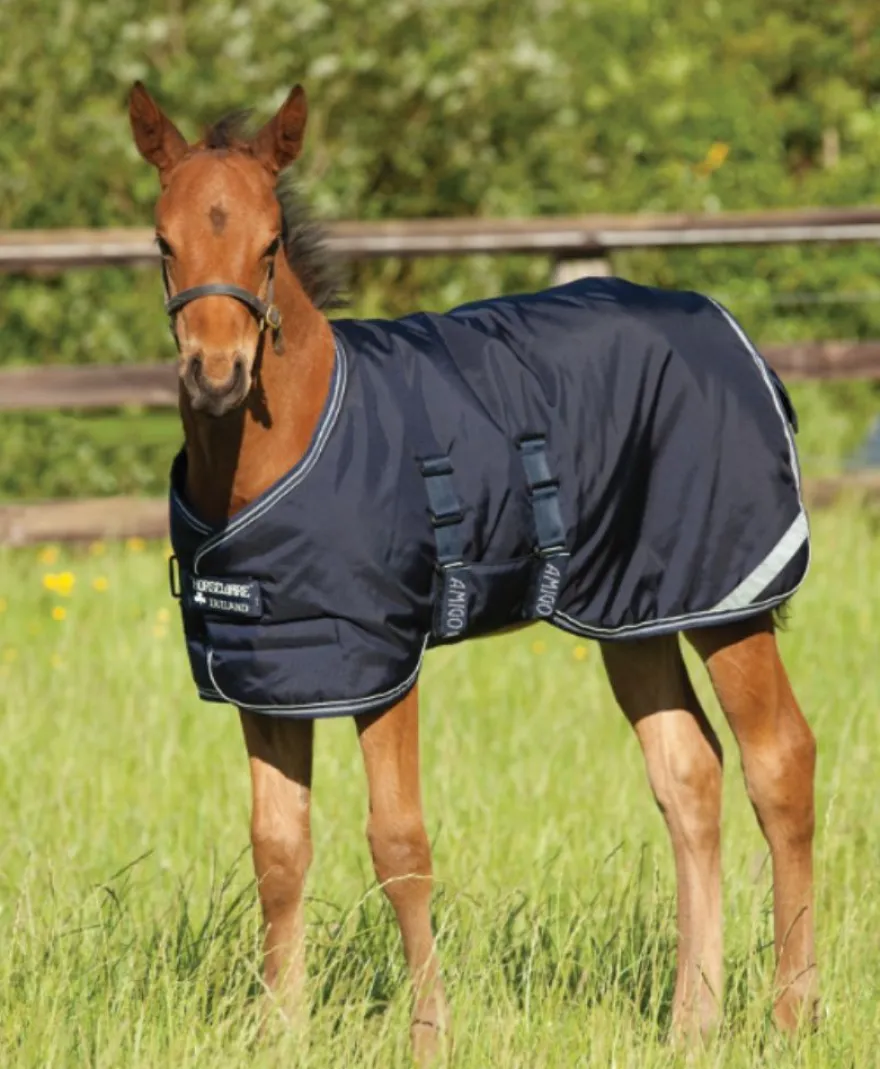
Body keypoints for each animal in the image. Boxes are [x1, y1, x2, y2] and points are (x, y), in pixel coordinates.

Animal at [128, 81, 818, 1062]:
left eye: (269, 243)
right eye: (163, 241)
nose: (217, 375)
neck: (289, 442)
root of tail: (735, 335)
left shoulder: (382, 660)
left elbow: (398, 845)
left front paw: (429, 1034)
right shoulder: (270, 673)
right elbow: (277, 848)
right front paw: (276, 1032)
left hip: (727, 598)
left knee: (779, 761)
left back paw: (793, 1014)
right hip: (633, 611)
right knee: (689, 773)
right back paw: (693, 1021)